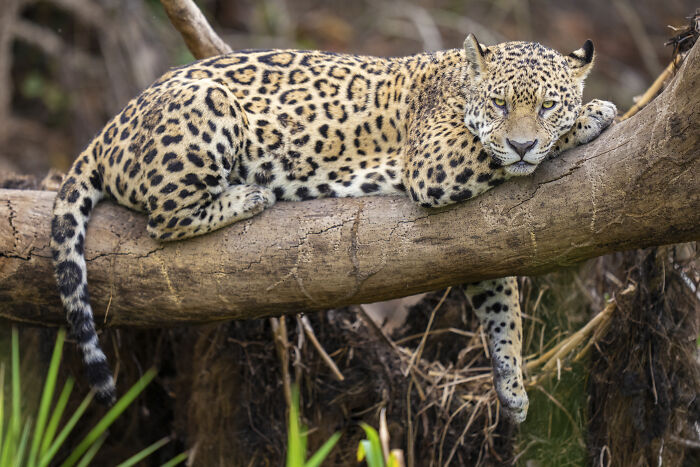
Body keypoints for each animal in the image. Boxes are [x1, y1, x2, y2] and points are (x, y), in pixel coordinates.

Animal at [50, 34, 616, 423]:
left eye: (546, 104)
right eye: (500, 104)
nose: (522, 144)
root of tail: (107, 127)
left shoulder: (483, 245)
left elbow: (503, 308)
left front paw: (512, 383)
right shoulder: (436, 160)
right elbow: (493, 152)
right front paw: (592, 114)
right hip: (208, 105)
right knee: (163, 220)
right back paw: (249, 195)